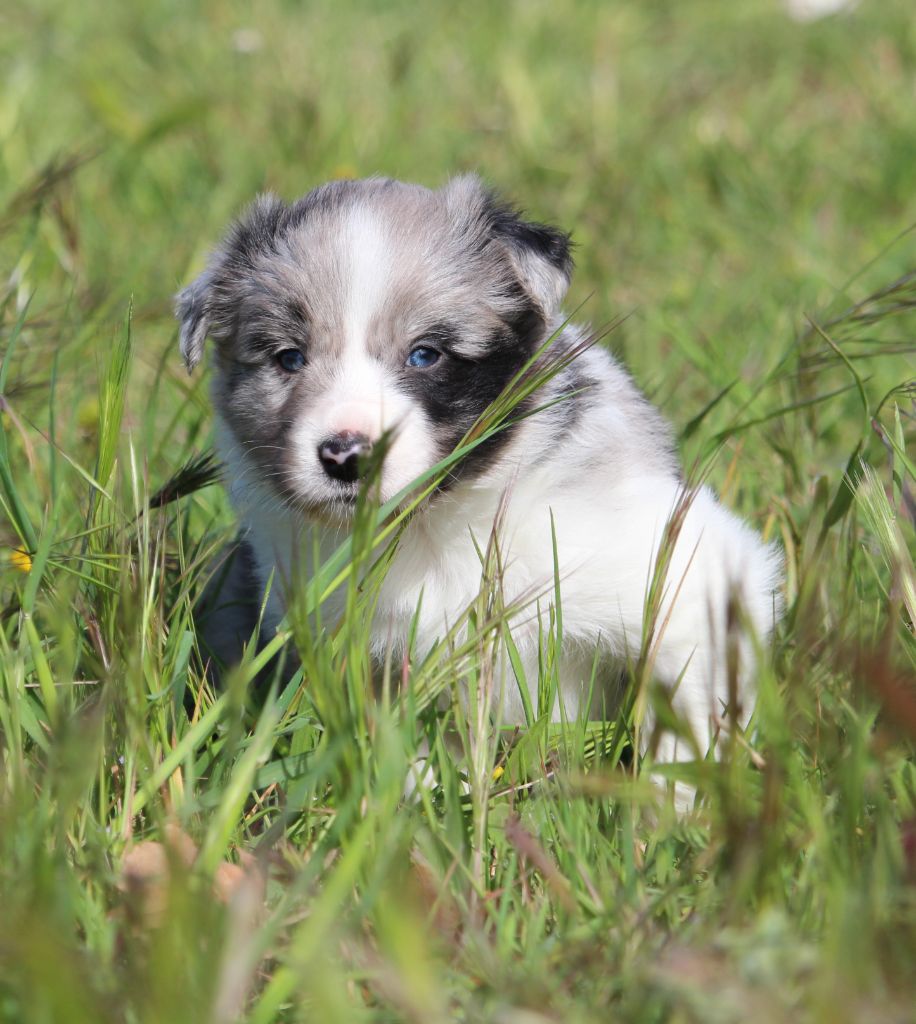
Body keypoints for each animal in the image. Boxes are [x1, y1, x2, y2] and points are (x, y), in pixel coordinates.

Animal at [177, 174, 781, 770]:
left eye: (425, 355)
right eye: (289, 358)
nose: (347, 456)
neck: (435, 523)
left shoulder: (688, 575)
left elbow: (686, 719)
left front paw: (672, 796)